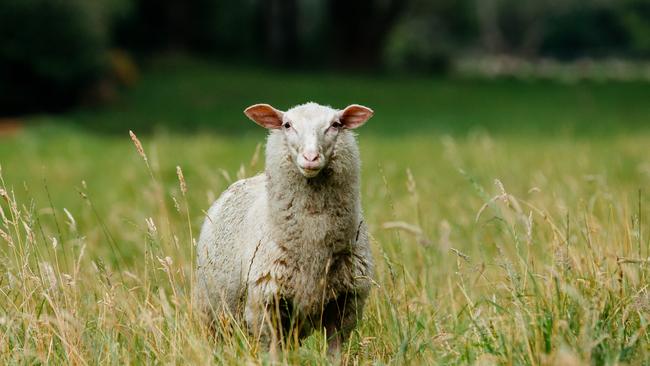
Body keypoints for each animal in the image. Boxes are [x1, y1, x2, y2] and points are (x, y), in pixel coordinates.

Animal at [192, 101, 374, 354]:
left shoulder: (344, 306)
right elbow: (274, 352)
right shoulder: (266, 305)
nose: (310, 157)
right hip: (214, 312)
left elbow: (334, 352)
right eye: (287, 125)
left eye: (335, 125)